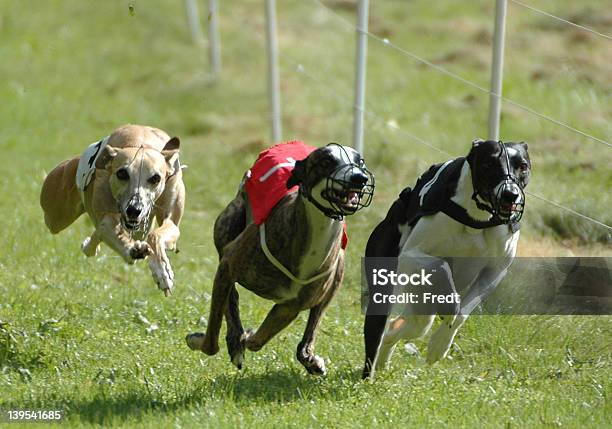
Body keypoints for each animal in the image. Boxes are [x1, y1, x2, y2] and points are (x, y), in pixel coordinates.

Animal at [40, 123, 184, 294]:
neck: (140, 142)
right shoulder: (107, 219)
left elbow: (157, 234)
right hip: (55, 216)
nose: (134, 210)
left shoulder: (171, 218)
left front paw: (162, 270)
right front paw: (134, 251)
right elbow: (108, 226)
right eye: (122, 173)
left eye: (155, 178)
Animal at [364, 139, 532, 376]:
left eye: (523, 166)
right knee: (383, 328)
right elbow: (441, 264)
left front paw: (439, 345)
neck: (477, 218)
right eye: (489, 164)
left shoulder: (494, 272)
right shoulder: (410, 254)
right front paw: (449, 305)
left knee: (401, 328)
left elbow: (462, 313)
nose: (510, 194)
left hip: (419, 310)